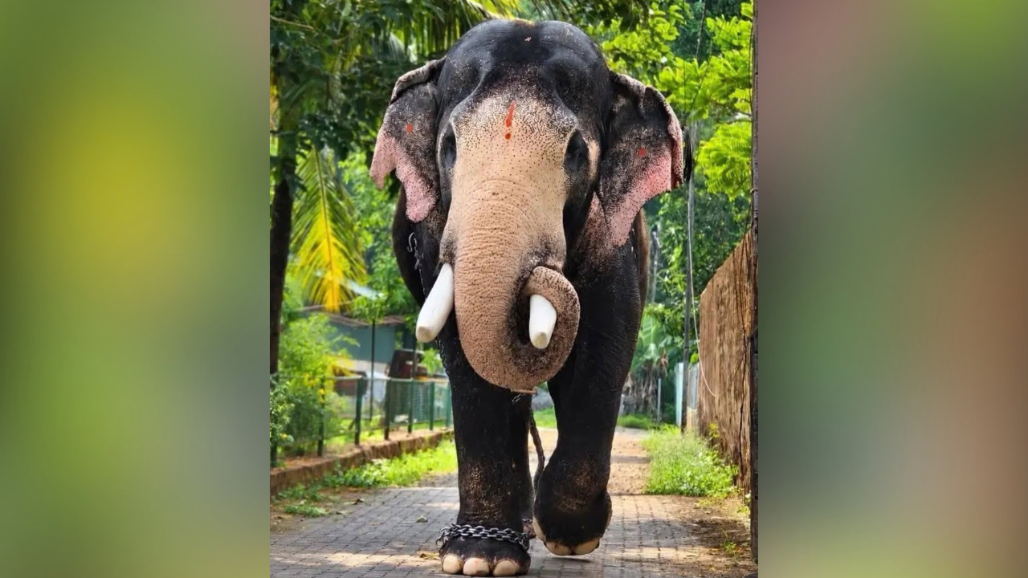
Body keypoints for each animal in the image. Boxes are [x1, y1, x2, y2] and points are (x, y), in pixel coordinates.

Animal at [370, 20, 689, 577]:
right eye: (449, 145)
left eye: (575, 151)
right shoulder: (434, 237)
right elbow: (468, 363)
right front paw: (479, 559)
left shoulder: (614, 241)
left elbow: (602, 352)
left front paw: (570, 533)